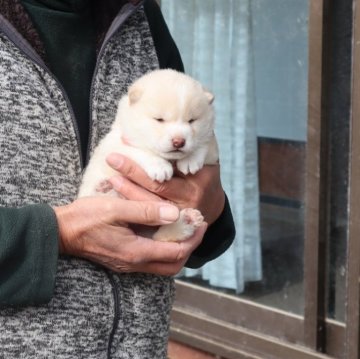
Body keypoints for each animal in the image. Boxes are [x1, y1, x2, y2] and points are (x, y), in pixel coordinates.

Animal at [78, 68, 218, 242]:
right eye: (159, 119)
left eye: (192, 120)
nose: (179, 141)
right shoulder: (116, 143)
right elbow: (140, 150)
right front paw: (160, 167)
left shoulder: (212, 149)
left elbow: (205, 143)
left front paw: (190, 160)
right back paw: (104, 187)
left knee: (159, 236)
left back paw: (187, 221)